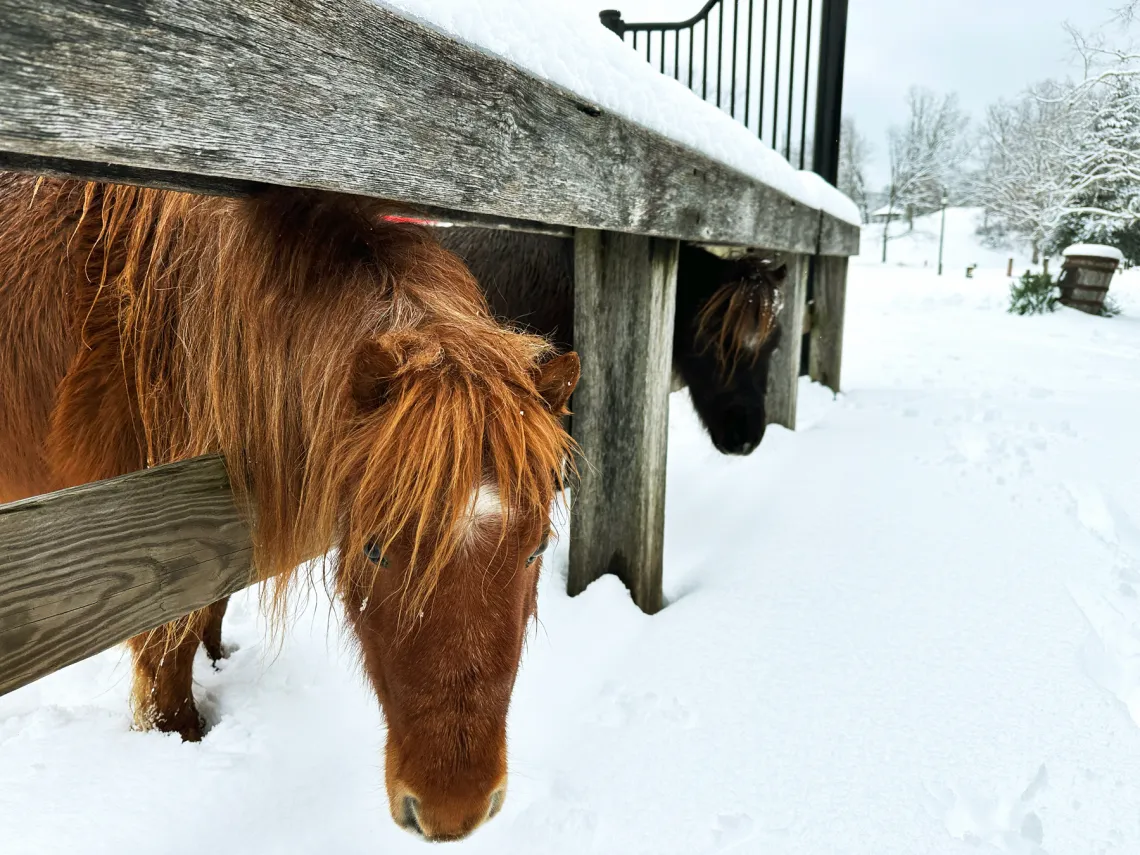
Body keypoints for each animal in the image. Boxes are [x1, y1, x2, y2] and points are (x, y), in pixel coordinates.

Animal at [0, 173, 580, 842]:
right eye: (373, 549)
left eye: (537, 547)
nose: (452, 811)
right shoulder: (153, 562)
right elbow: (169, 666)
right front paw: (180, 741)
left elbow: (211, 612)